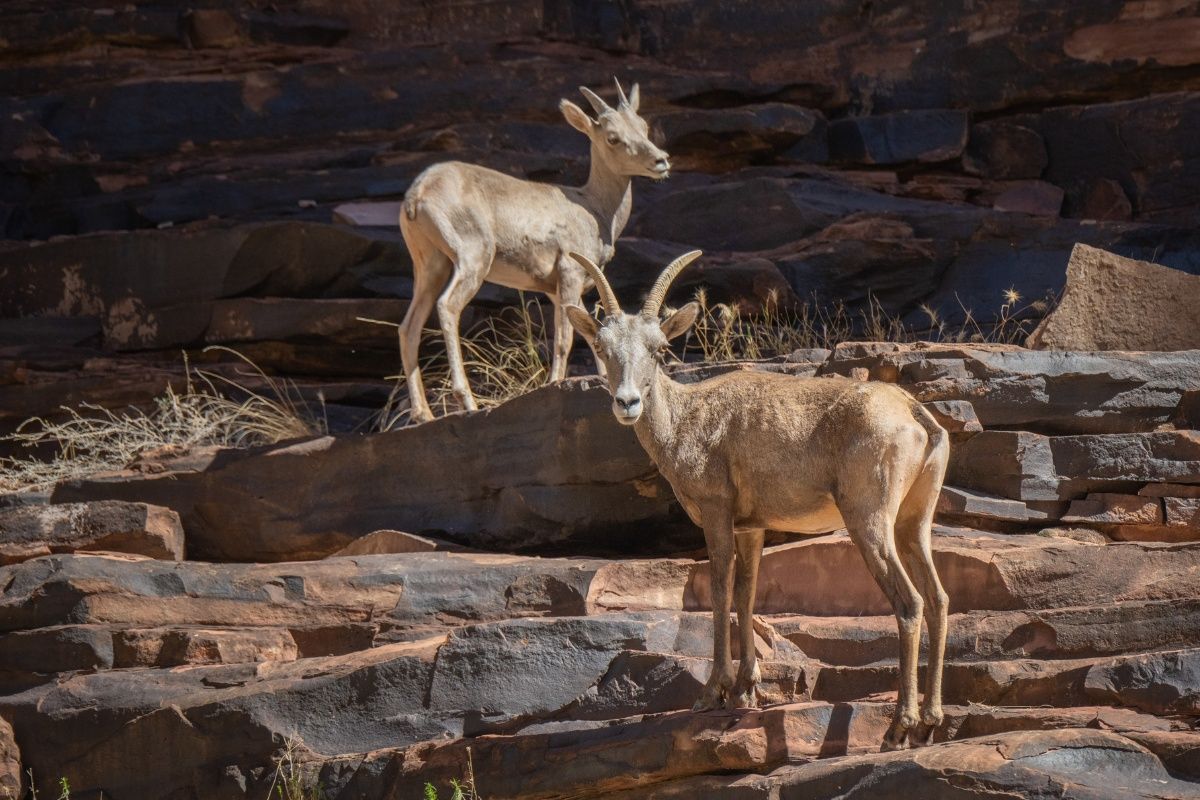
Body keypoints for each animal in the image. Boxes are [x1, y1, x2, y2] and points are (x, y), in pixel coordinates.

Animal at [397, 79, 670, 422]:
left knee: (408, 327)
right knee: (448, 306)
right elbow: (565, 338)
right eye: (612, 137)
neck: (593, 208)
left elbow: (590, 334)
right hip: (473, 261)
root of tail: (417, 194)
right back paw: (468, 402)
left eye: (642, 127)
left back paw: (423, 414)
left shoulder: (556, 290)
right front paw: (554, 383)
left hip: (431, 267)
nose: (661, 161)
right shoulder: (568, 275)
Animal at [563, 250, 951, 751]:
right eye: (603, 347)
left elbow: (720, 590)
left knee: (910, 602)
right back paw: (930, 723)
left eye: (659, 349)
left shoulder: (716, 514)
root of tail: (915, 415)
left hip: (869, 522)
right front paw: (747, 689)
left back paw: (898, 727)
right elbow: (747, 593)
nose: (627, 403)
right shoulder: (752, 527)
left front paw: (713, 693)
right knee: (938, 599)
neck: (687, 420)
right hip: (913, 523)